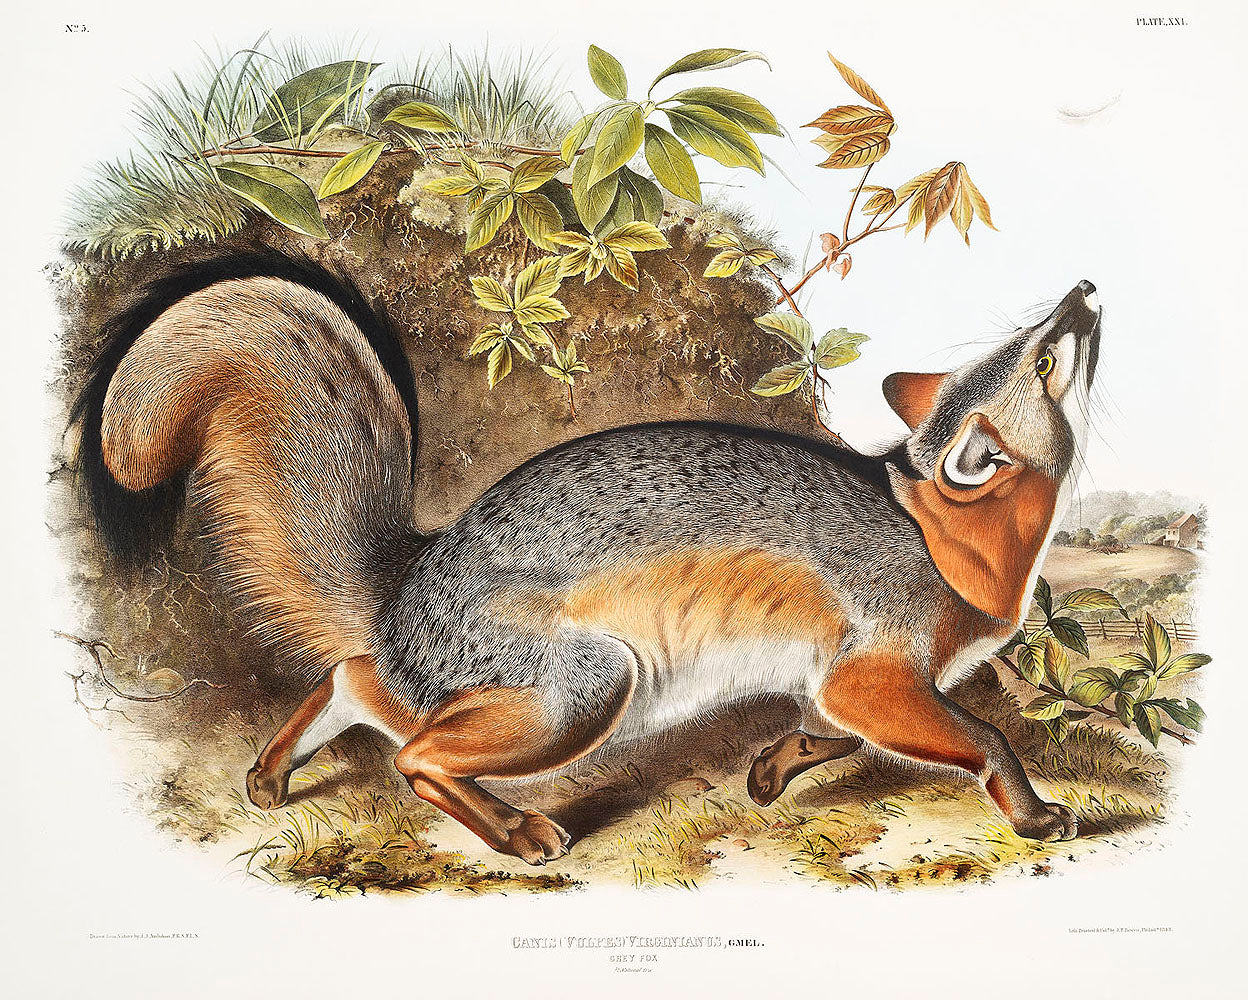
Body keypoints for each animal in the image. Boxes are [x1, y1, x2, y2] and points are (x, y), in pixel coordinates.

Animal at [73, 252, 1101, 864]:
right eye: (1044, 357)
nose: (1083, 292)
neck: (939, 531)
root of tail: (411, 582)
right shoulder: (874, 672)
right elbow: (985, 736)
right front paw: (1033, 813)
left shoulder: (842, 680)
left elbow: (829, 730)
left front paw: (773, 770)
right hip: (588, 688)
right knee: (413, 751)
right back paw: (518, 831)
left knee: (356, 679)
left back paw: (273, 771)